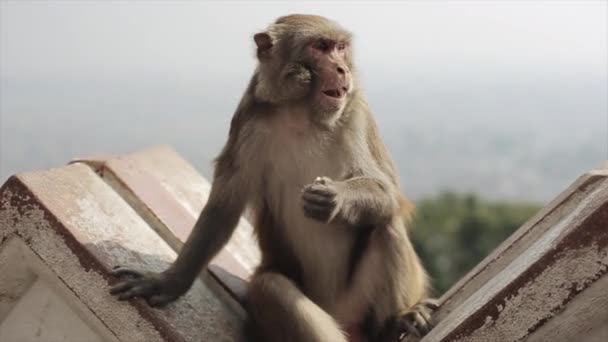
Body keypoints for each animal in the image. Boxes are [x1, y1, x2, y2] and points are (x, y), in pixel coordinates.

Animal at [110, 14, 436, 342]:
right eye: (321, 47)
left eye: (341, 48)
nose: (342, 69)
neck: (302, 115)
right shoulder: (249, 121)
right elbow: (223, 208)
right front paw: (168, 282)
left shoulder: (356, 114)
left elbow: (388, 192)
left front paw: (335, 198)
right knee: (270, 287)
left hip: (358, 306)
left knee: (385, 224)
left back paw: (398, 320)